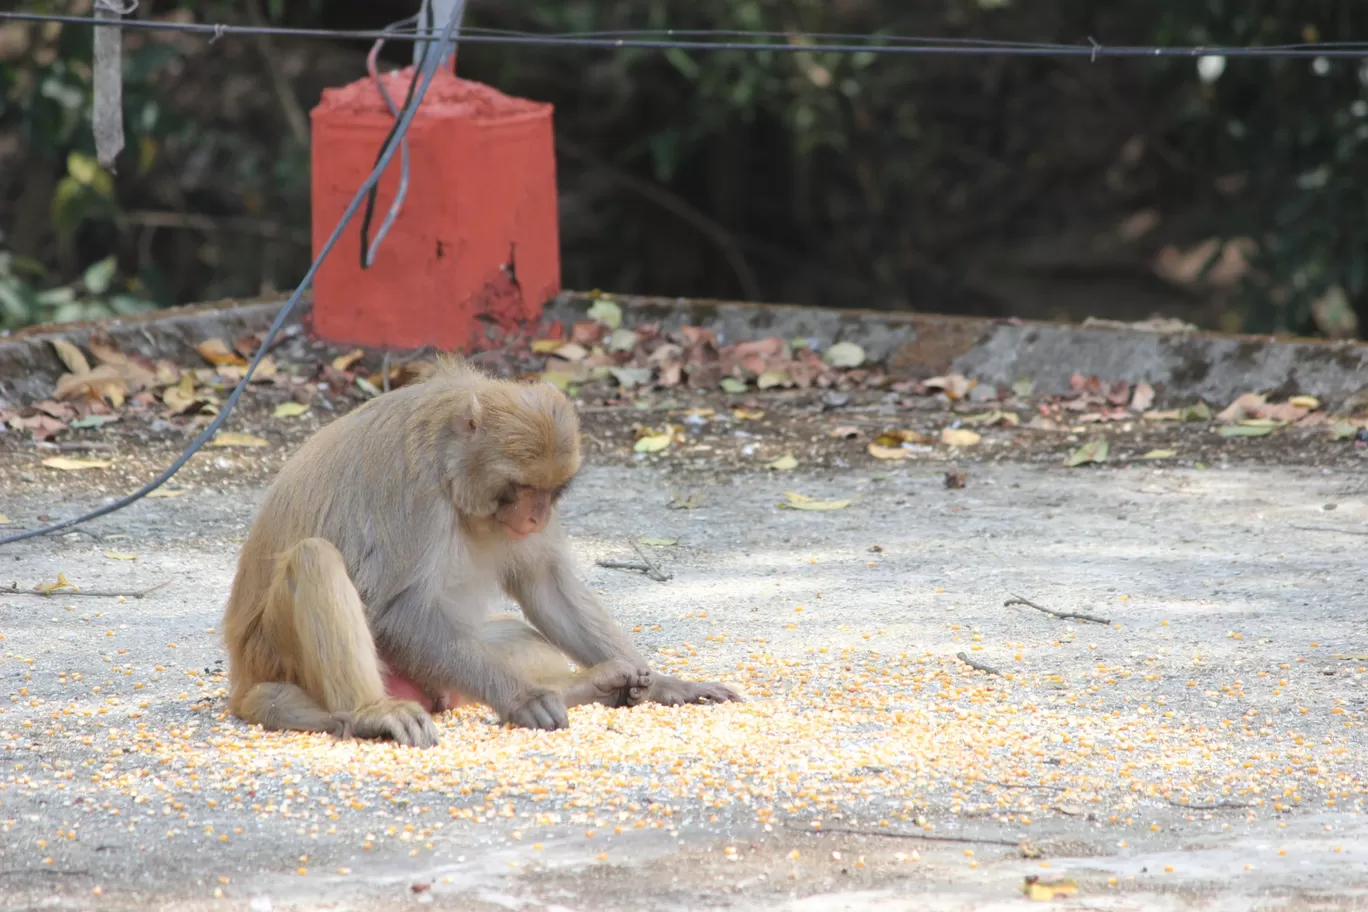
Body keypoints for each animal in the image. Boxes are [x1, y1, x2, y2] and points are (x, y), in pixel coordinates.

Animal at [222, 355, 744, 749]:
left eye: (550, 491)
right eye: (519, 488)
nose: (535, 518)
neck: (450, 468)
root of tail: (243, 677)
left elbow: (544, 585)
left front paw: (664, 684)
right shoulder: (416, 496)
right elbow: (396, 613)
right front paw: (520, 699)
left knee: (515, 638)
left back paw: (593, 683)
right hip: (277, 657)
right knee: (314, 560)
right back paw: (370, 713)